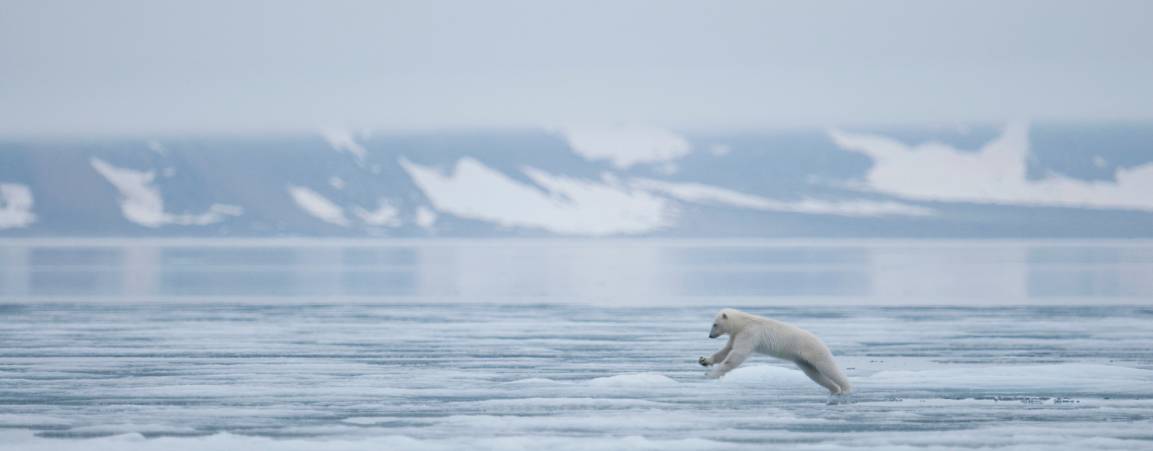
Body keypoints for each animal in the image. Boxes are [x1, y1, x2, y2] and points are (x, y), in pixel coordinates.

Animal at [696, 306, 853, 396]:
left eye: (714, 324)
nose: (710, 336)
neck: (743, 322)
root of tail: (820, 341)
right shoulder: (736, 335)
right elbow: (725, 350)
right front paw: (704, 360)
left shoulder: (750, 333)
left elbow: (736, 355)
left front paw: (710, 374)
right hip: (803, 360)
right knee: (814, 374)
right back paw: (834, 389)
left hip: (814, 350)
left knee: (828, 367)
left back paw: (845, 388)